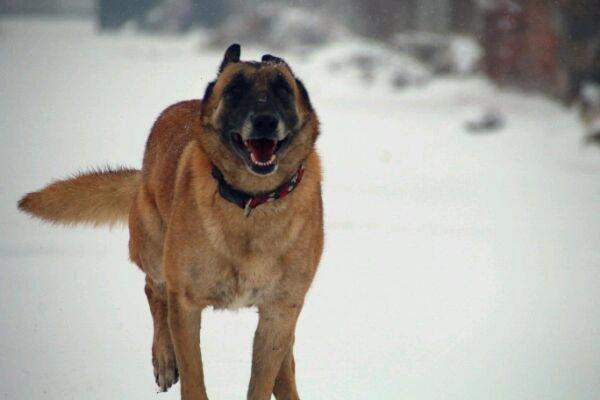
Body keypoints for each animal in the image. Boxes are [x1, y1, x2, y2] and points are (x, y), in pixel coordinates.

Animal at [17, 42, 324, 398]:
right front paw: (175, 365)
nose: (264, 121)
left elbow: (262, 378)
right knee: (153, 290)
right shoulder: (186, 305)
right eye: (235, 89)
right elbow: (193, 375)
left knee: (285, 358)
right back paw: (164, 360)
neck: (252, 202)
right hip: (154, 249)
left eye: (282, 89)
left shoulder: (278, 312)